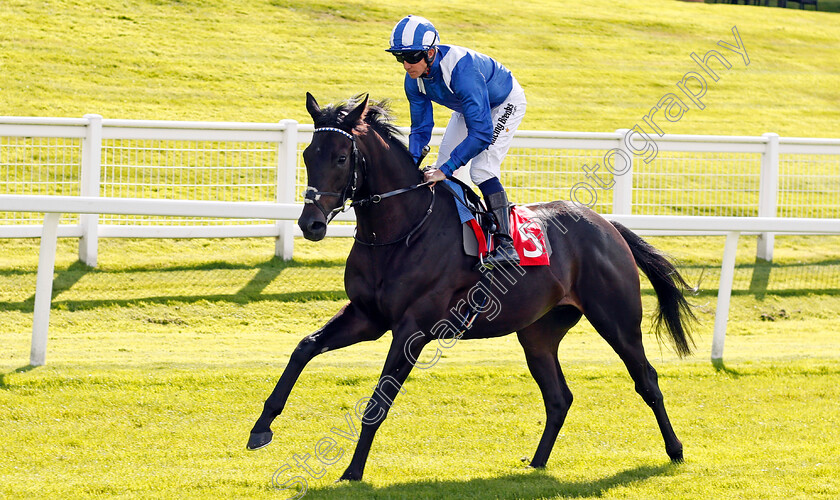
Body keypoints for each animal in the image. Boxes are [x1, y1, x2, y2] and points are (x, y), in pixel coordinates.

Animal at [248, 93, 696, 480]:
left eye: (341, 157)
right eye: (308, 154)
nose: (311, 224)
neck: (402, 230)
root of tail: (608, 225)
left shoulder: (412, 330)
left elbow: (378, 401)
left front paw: (352, 472)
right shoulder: (367, 317)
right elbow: (304, 347)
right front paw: (262, 426)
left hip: (616, 320)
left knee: (647, 380)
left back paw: (675, 450)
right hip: (538, 333)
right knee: (559, 397)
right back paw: (536, 462)